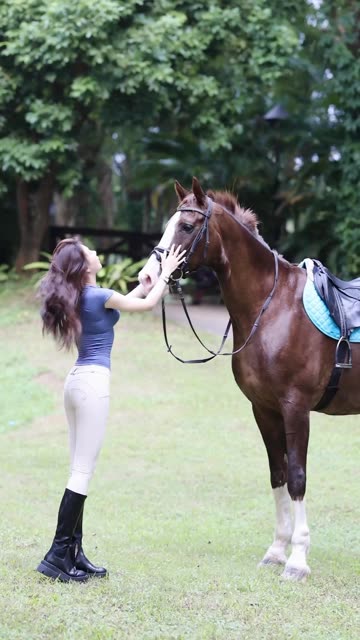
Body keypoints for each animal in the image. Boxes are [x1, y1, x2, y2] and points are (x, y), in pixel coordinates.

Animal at [139, 175, 360, 580]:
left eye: (187, 226)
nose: (148, 277)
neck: (273, 308)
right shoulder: (264, 409)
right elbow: (278, 475)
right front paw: (277, 550)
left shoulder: (295, 408)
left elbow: (298, 477)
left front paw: (298, 560)